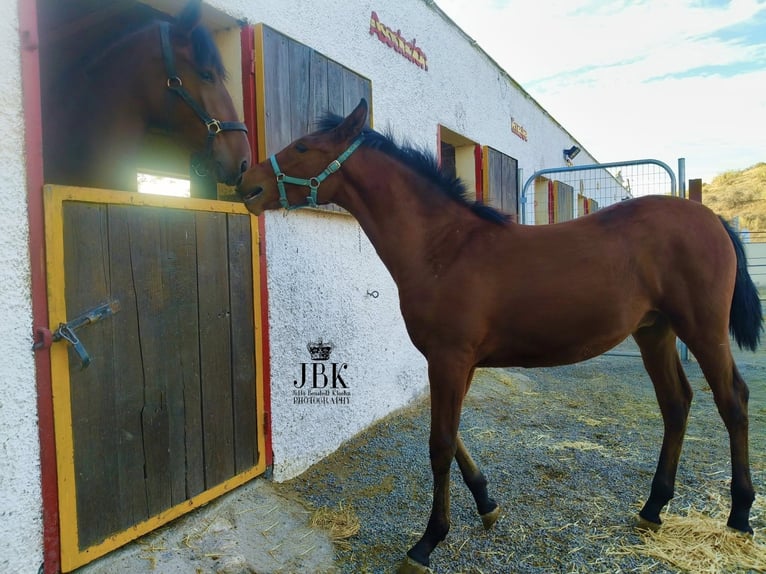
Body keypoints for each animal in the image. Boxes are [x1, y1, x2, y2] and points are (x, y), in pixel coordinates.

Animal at [236, 99, 762, 573]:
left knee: (732, 401)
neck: (444, 248)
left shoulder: (449, 359)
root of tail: (713, 219)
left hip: (703, 330)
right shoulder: (456, 362)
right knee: (676, 403)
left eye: (303, 146)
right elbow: (452, 437)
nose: (247, 183)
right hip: (655, 331)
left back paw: (739, 515)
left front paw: (427, 543)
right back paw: (653, 508)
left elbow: (440, 444)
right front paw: (487, 504)